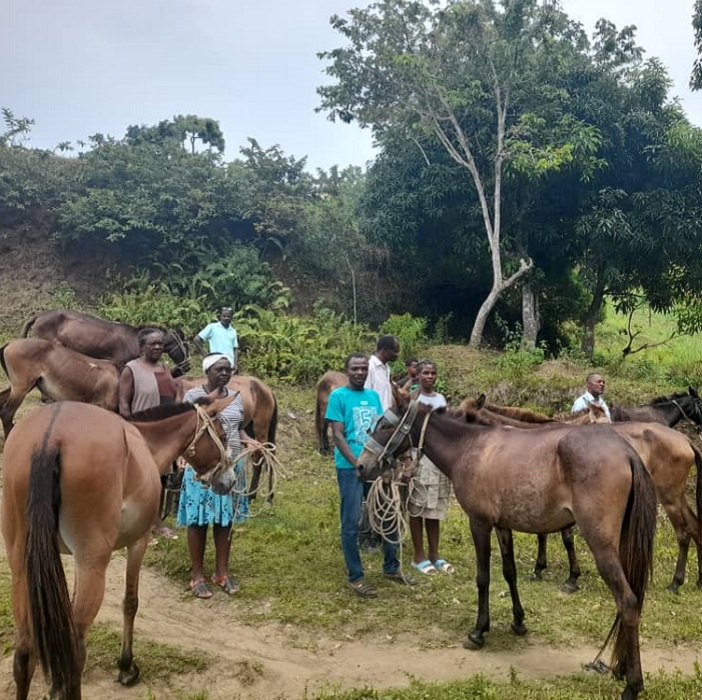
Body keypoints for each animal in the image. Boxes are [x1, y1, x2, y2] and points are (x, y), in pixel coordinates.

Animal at [0, 396, 236, 696]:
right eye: (222, 435)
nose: (229, 481)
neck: (146, 443)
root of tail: (50, 436)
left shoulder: (73, 562)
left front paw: (56, 685)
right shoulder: (139, 542)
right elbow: (130, 603)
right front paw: (126, 666)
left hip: (21, 565)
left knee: (24, 653)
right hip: (93, 565)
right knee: (75, 648)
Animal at [358, 396, 660, 696]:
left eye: (384, 425)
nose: (362, 466)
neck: (472, 447)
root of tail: (626, 451)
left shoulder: (479, 523)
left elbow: (483, 577)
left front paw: (478, 631)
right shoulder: (503, 525)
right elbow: (509, 572)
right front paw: (518, 621)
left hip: (602, 547)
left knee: (627, 602)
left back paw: (633, 685)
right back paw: (620, 668)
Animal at [462, 396, 702, 592]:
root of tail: (685, 440)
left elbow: (565, 538)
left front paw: (571, 577)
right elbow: (543, 533)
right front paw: (541, 568)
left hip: (668, 498)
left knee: (683, 533)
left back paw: (675, 583)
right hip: (677, 497)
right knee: (695, 526)